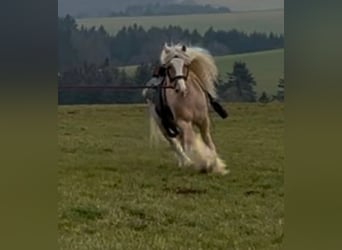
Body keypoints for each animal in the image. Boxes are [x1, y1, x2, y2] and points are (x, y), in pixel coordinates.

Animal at [144, 43, 227, 175]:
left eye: (184, 65)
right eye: (170, 67)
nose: (181, 88)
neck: (188, 98)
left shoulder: (203, 121)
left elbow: (208, 142)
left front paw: (215, 163)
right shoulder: (183, 122)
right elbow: (191, 141)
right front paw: (205, 163)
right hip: (162, 124)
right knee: (173, 142)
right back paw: (186, 162)